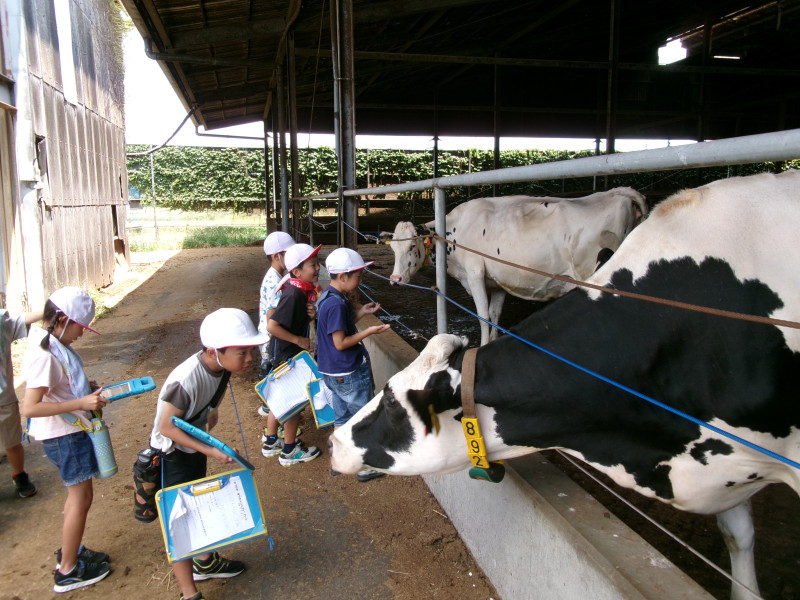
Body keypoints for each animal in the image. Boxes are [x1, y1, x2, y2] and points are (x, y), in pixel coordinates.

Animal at [390, 188, 648, 346]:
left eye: (412, 246)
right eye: (393, 248)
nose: (395, 279)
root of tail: (616, 192)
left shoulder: (475, 273)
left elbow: (483, 315)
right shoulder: (497, 281)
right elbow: (495, 315)